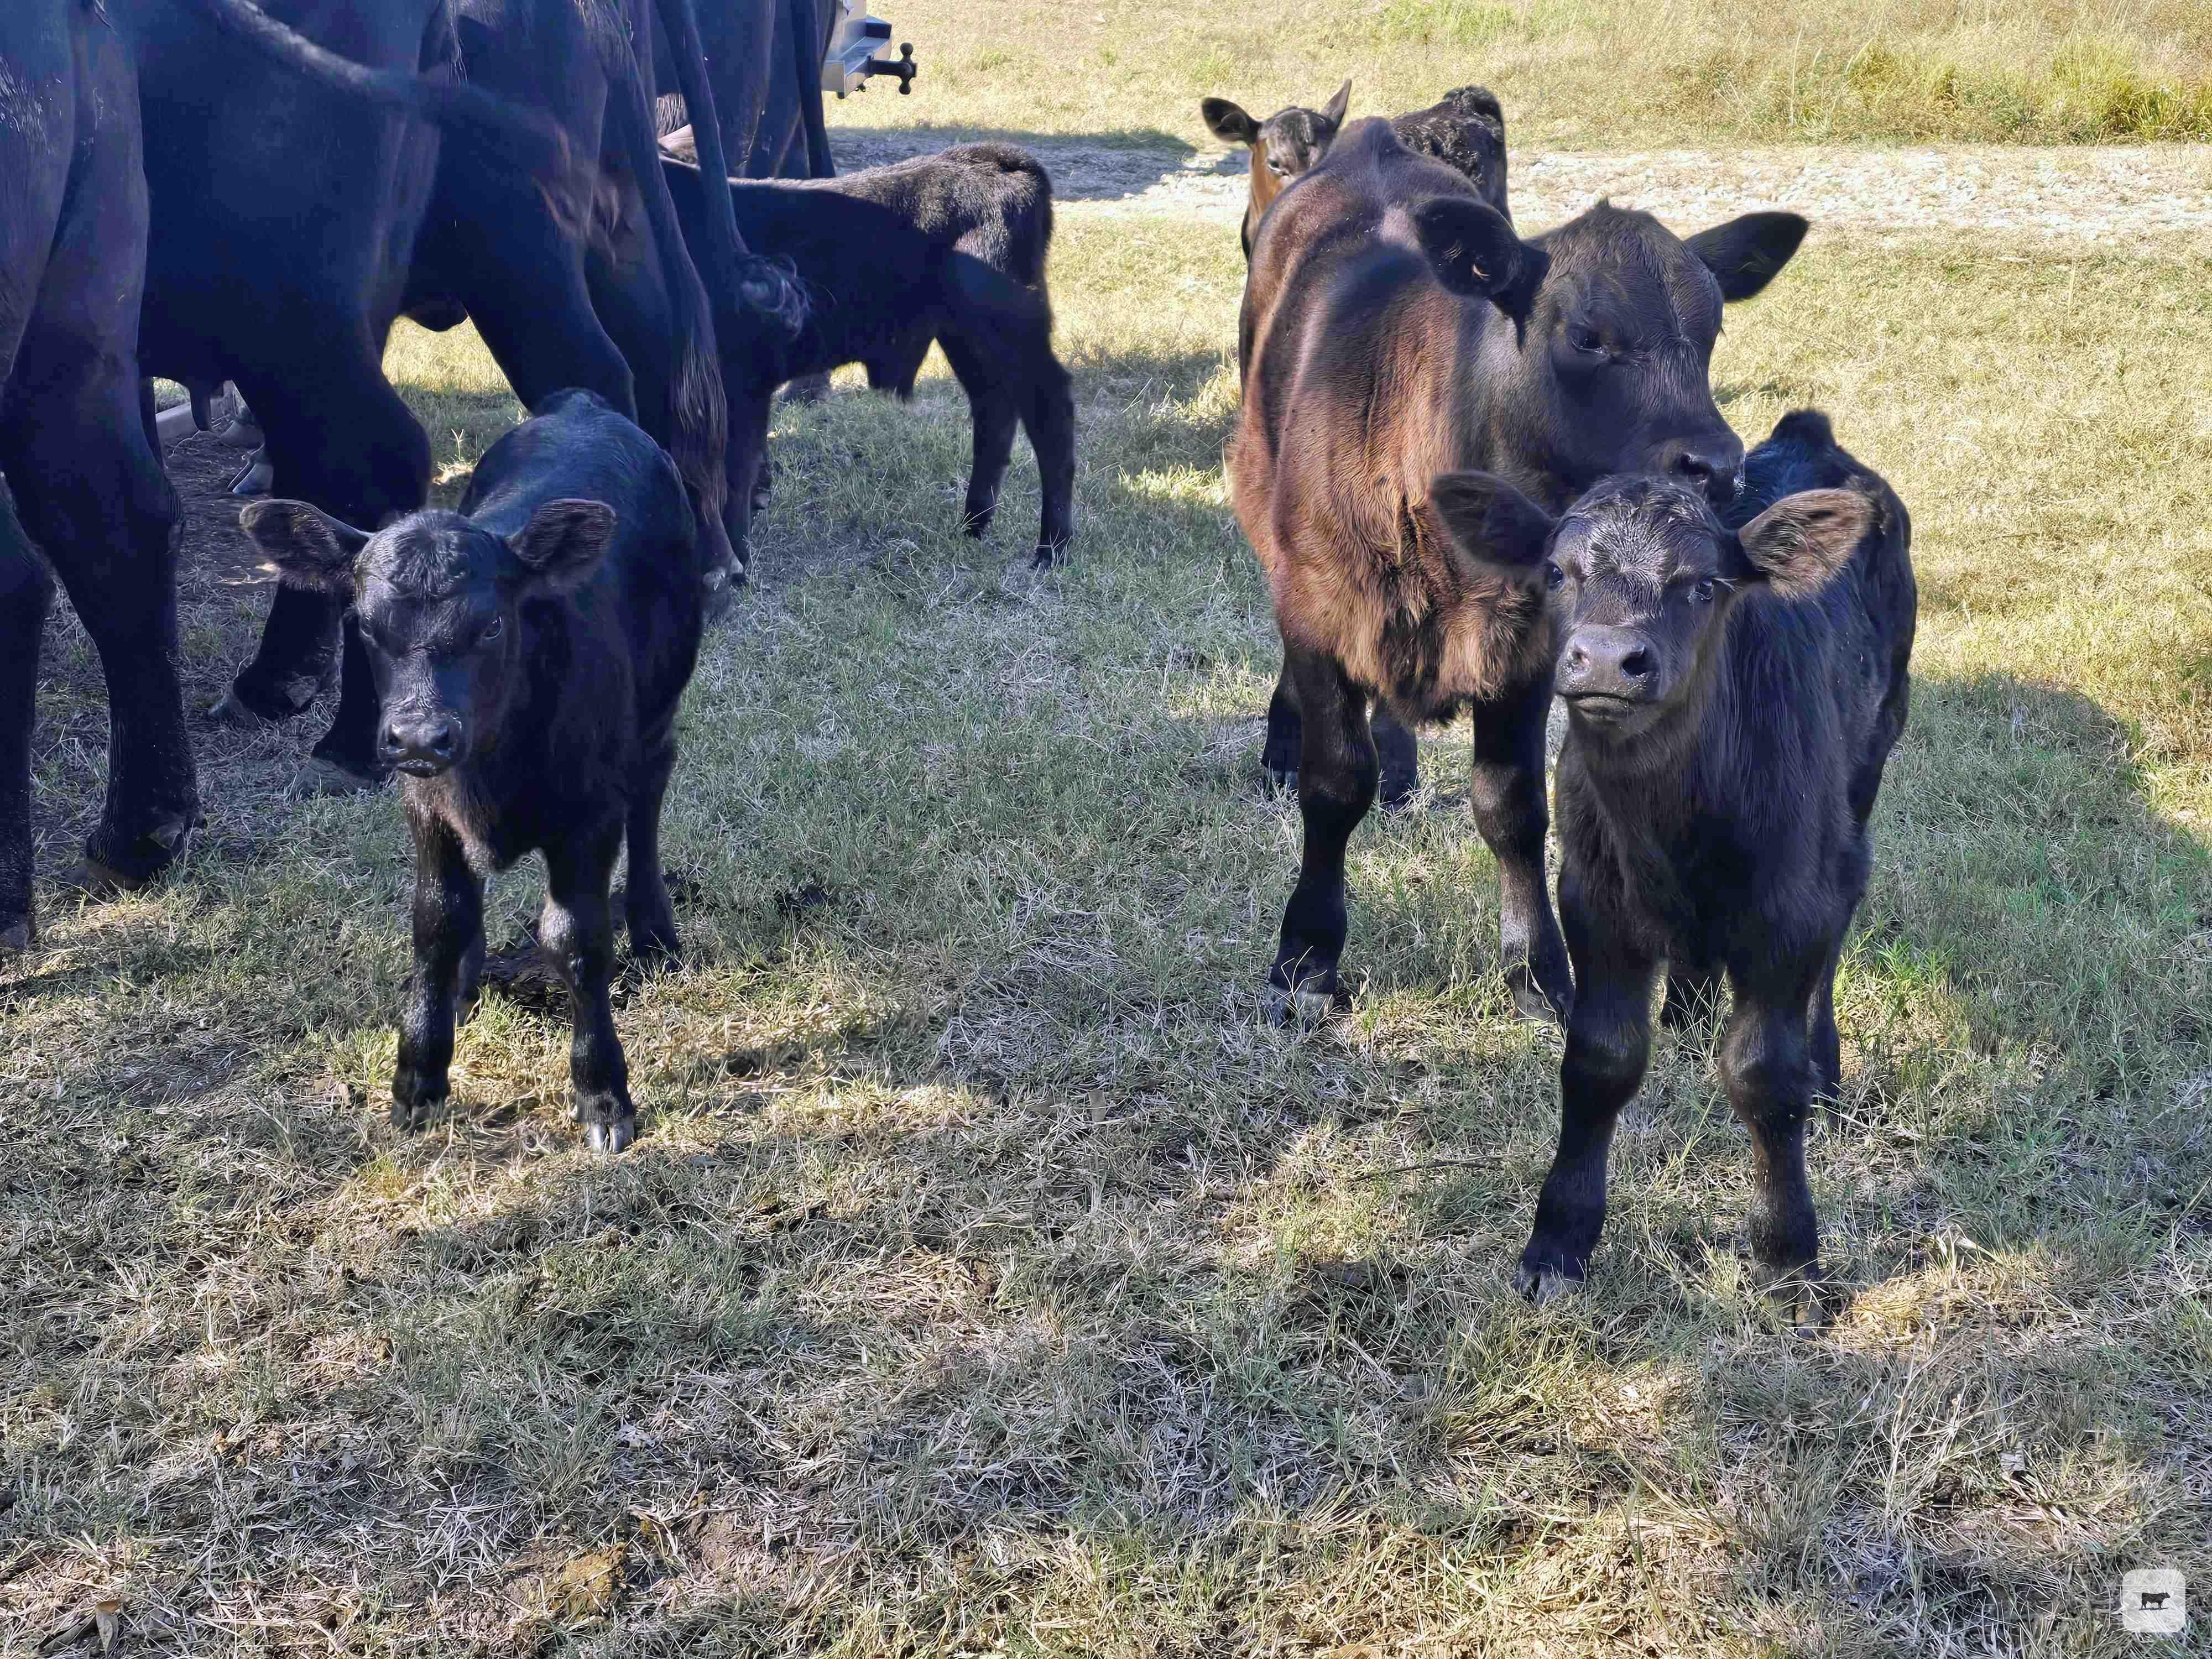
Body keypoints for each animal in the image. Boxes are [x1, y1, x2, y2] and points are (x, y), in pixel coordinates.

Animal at [239, 389, 704, 1154]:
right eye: (364, 625)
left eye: (491, 626)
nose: (420, 736)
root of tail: (583, 404)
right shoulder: (425, 804)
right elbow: (437, 921)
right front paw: (419, 1076)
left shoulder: (591, 810)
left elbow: (576, 938)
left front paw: (603, 1093)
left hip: (657, 711)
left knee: (653, 791)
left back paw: (655, 930)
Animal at [660, 140, 1077, 566]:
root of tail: (994, 159)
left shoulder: (741, 383)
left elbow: (731, 476)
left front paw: (735, 559)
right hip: (966, 337)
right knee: (994, 409)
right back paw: (974, 525)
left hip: (1009, 329)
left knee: (1050, 411)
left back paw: (1052, 547)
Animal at [1231, 118, 1806, 1025]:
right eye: (1586, 336)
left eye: (1713, 332)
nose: (1718, 466)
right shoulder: (1319, 606)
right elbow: (1334, 783)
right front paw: (1308, 954)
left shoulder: (1530, 645)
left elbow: (1513, 806)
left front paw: (1536, 970)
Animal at [1449, 411, 1915, 1308]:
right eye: (1556, 572)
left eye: (1703, 585)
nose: (1605, 658)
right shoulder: (1592, 898)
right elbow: (1598, 1060)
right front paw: (1558, 1243)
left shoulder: (1789, 909)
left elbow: (1766, 1077)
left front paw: (1786, 1255)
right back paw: (1689, 1009)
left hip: (1872, 757)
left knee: (1848, 899)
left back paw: (1824, 1061)